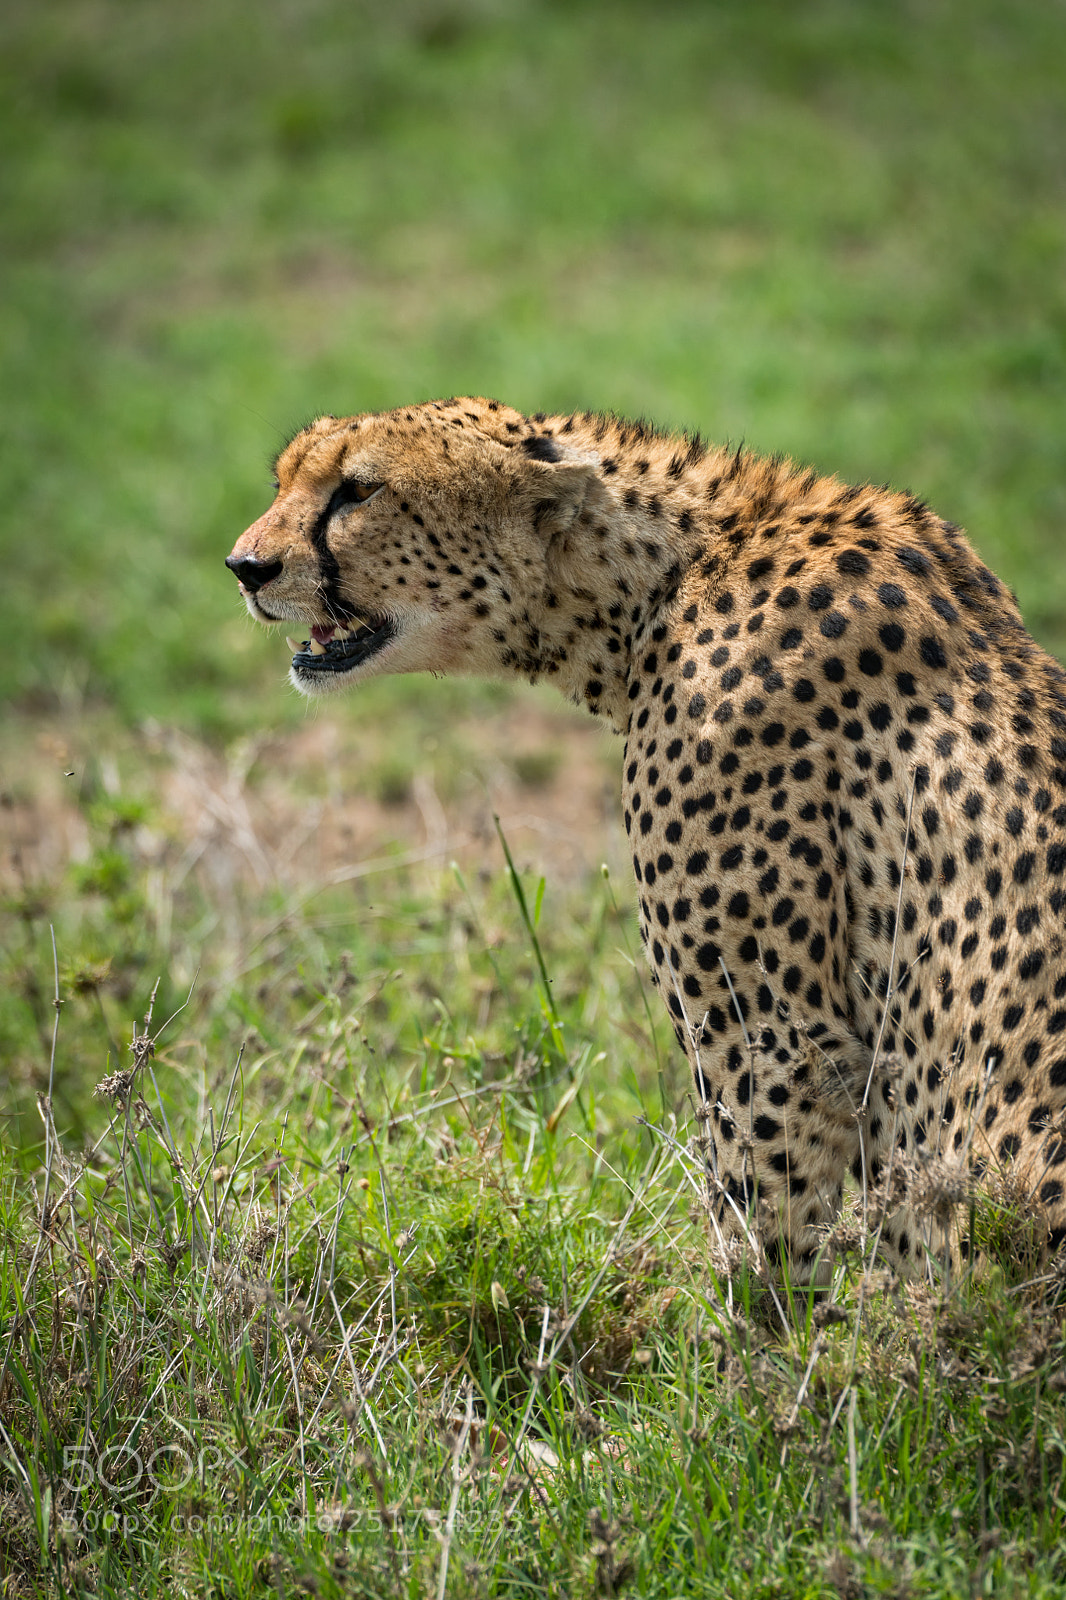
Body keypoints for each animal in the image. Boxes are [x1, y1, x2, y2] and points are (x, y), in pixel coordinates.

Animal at [227, 395, 1066, 1279]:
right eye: (286, 479)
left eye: (359, 491)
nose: (244, 567)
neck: (663, 580)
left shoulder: (776, 1050)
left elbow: (767, 1250)